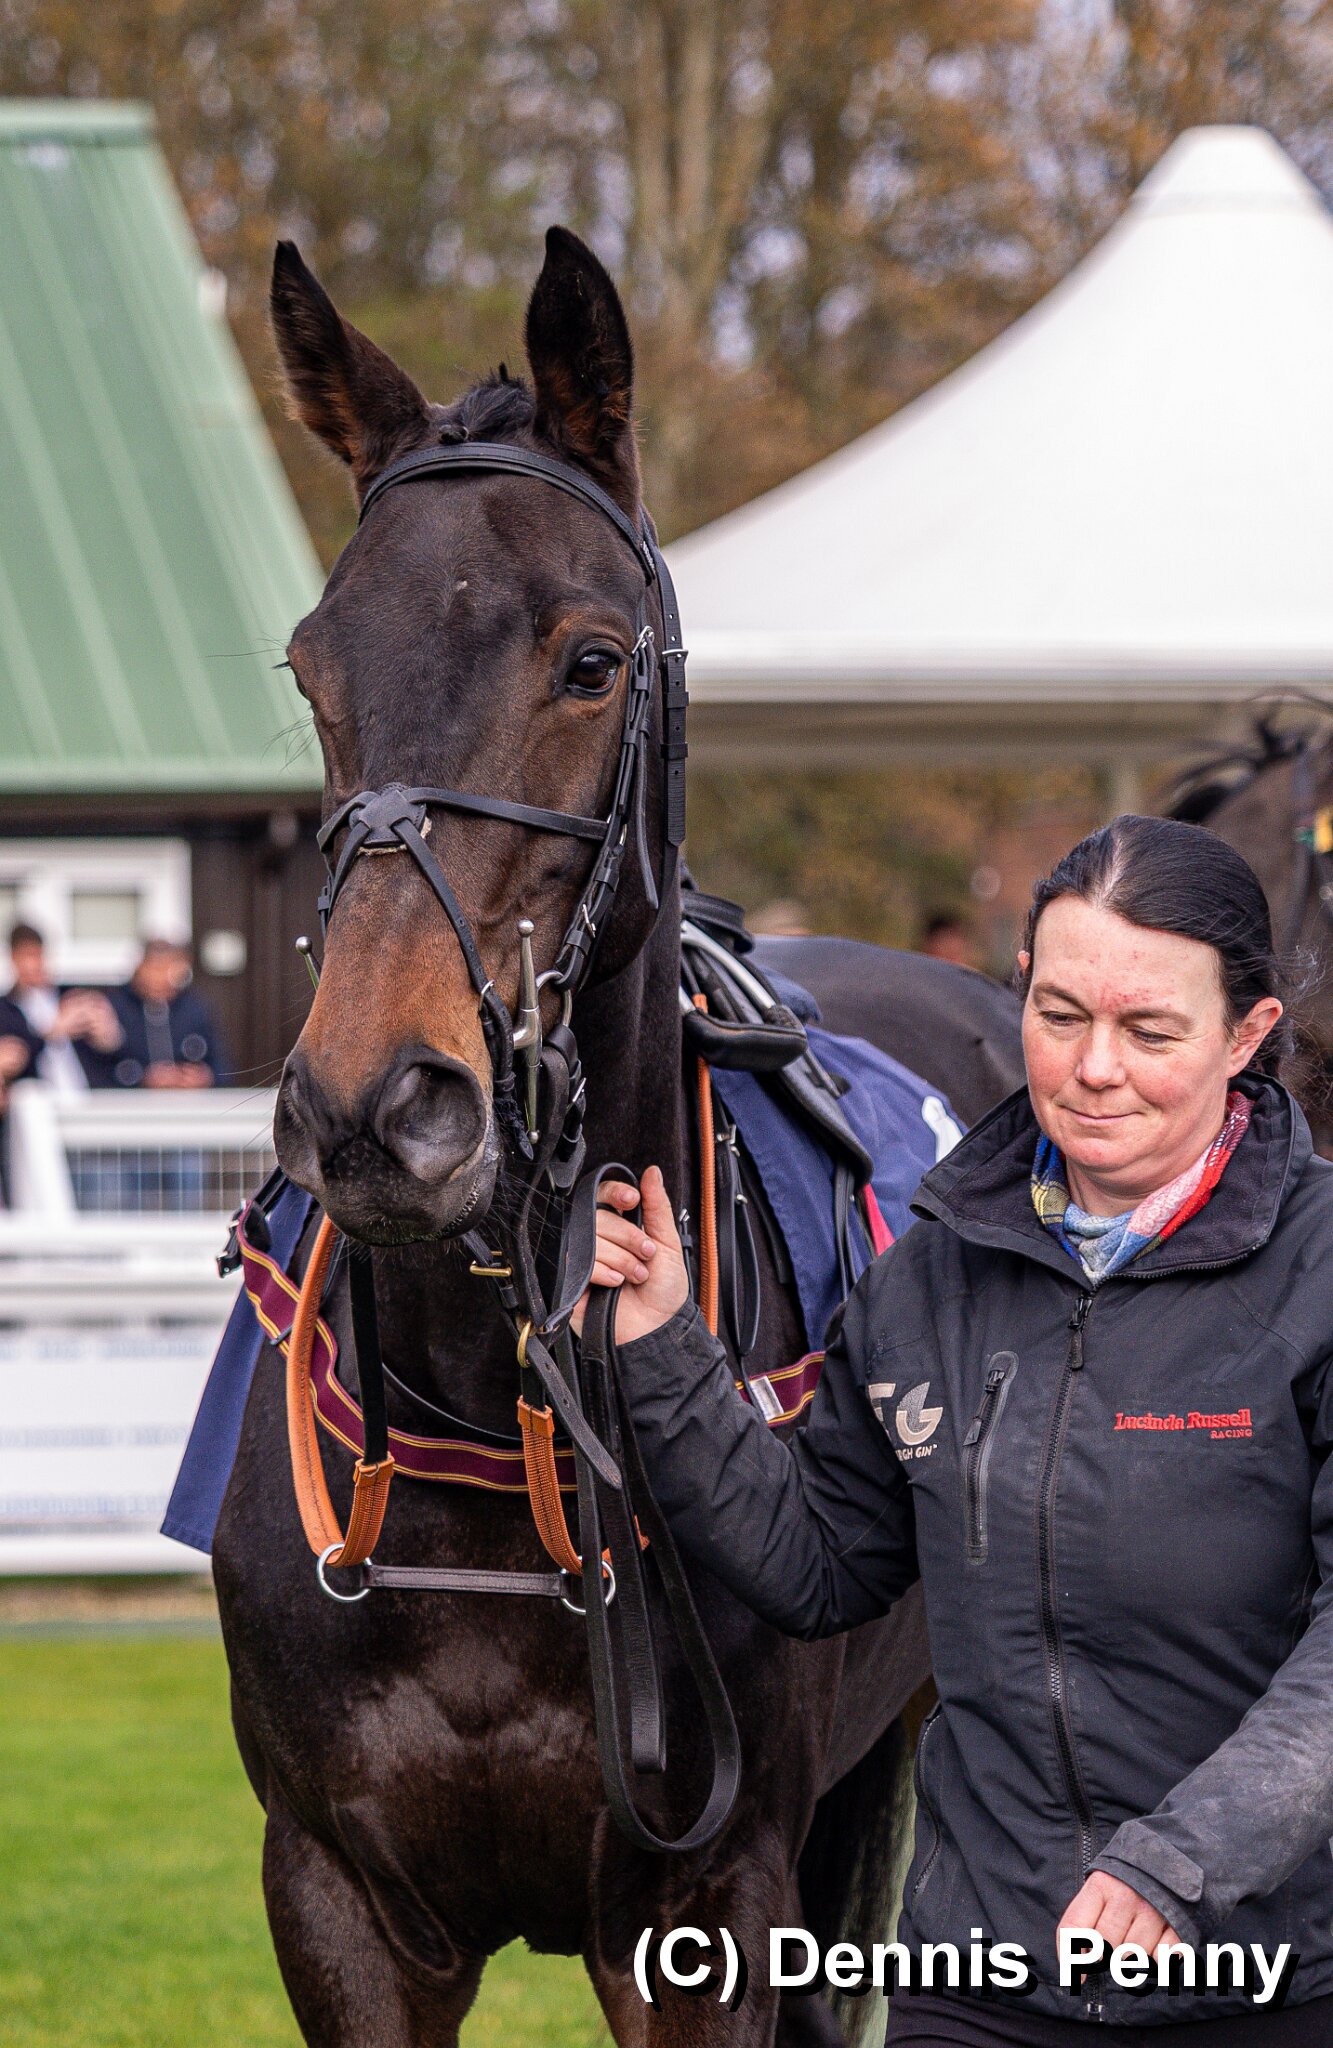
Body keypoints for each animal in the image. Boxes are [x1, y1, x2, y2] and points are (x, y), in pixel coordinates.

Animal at [211, 224, 1023, 2047]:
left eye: (589, 661)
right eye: (311, 668)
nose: (376, 1110)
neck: (494, 1436)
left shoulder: (707, 1901)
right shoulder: (336, 1900)